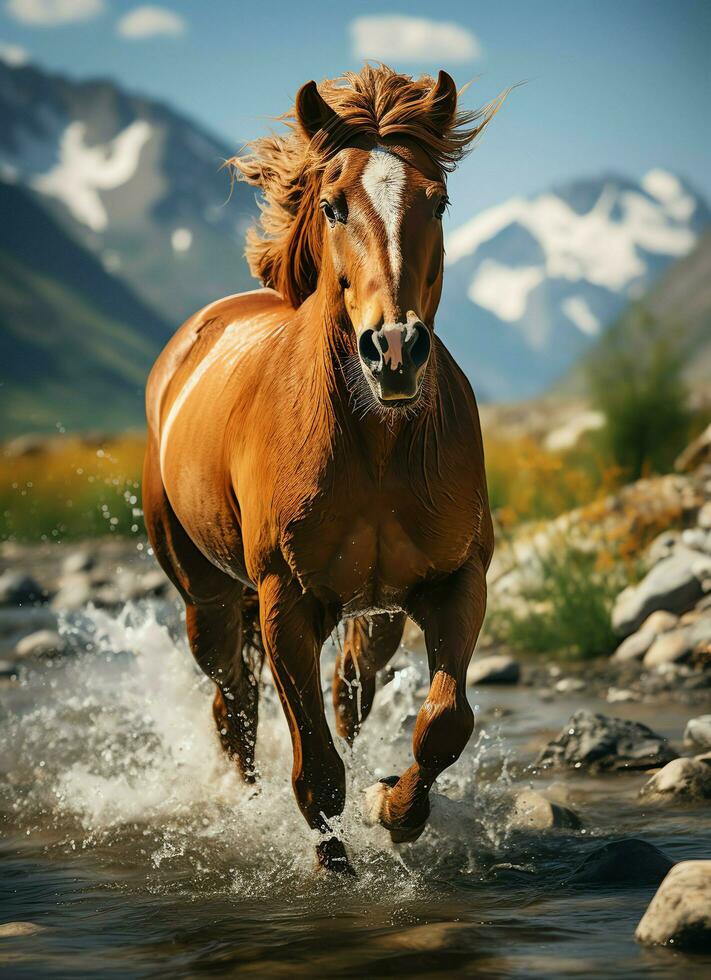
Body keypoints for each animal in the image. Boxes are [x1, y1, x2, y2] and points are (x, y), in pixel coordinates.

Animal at [143, 63, 500, 872]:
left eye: (438, 199)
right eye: (334, 205)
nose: (394, 350)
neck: (376, 445)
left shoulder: (454, 580)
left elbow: (443, 721)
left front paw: (393, 808)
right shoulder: (285, 600)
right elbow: (315, 772)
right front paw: (332, 860)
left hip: (375, 613)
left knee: (344, 694)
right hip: (207, 599)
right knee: (235, 705)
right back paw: (241, 805)